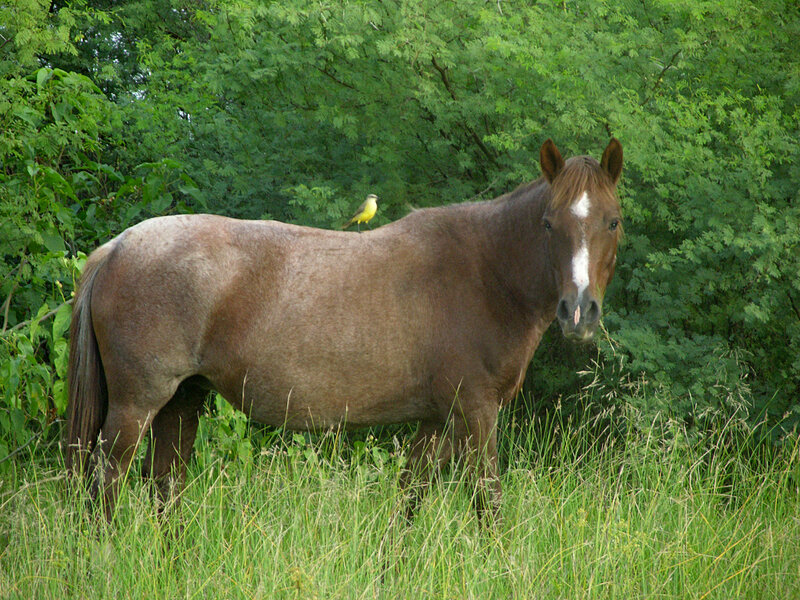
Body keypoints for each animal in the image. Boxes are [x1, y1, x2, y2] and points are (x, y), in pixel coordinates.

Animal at [66, 138, 624, 521]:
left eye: (613, 221)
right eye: (548, 223)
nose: (578, 312)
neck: (486, 272)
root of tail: (117, 247)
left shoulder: (437, 420)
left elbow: (409, 501)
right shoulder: (476, 413)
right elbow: (489, 503)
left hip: (182, 402)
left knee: (166, 486)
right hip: (136, 405)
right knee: (106, 486)